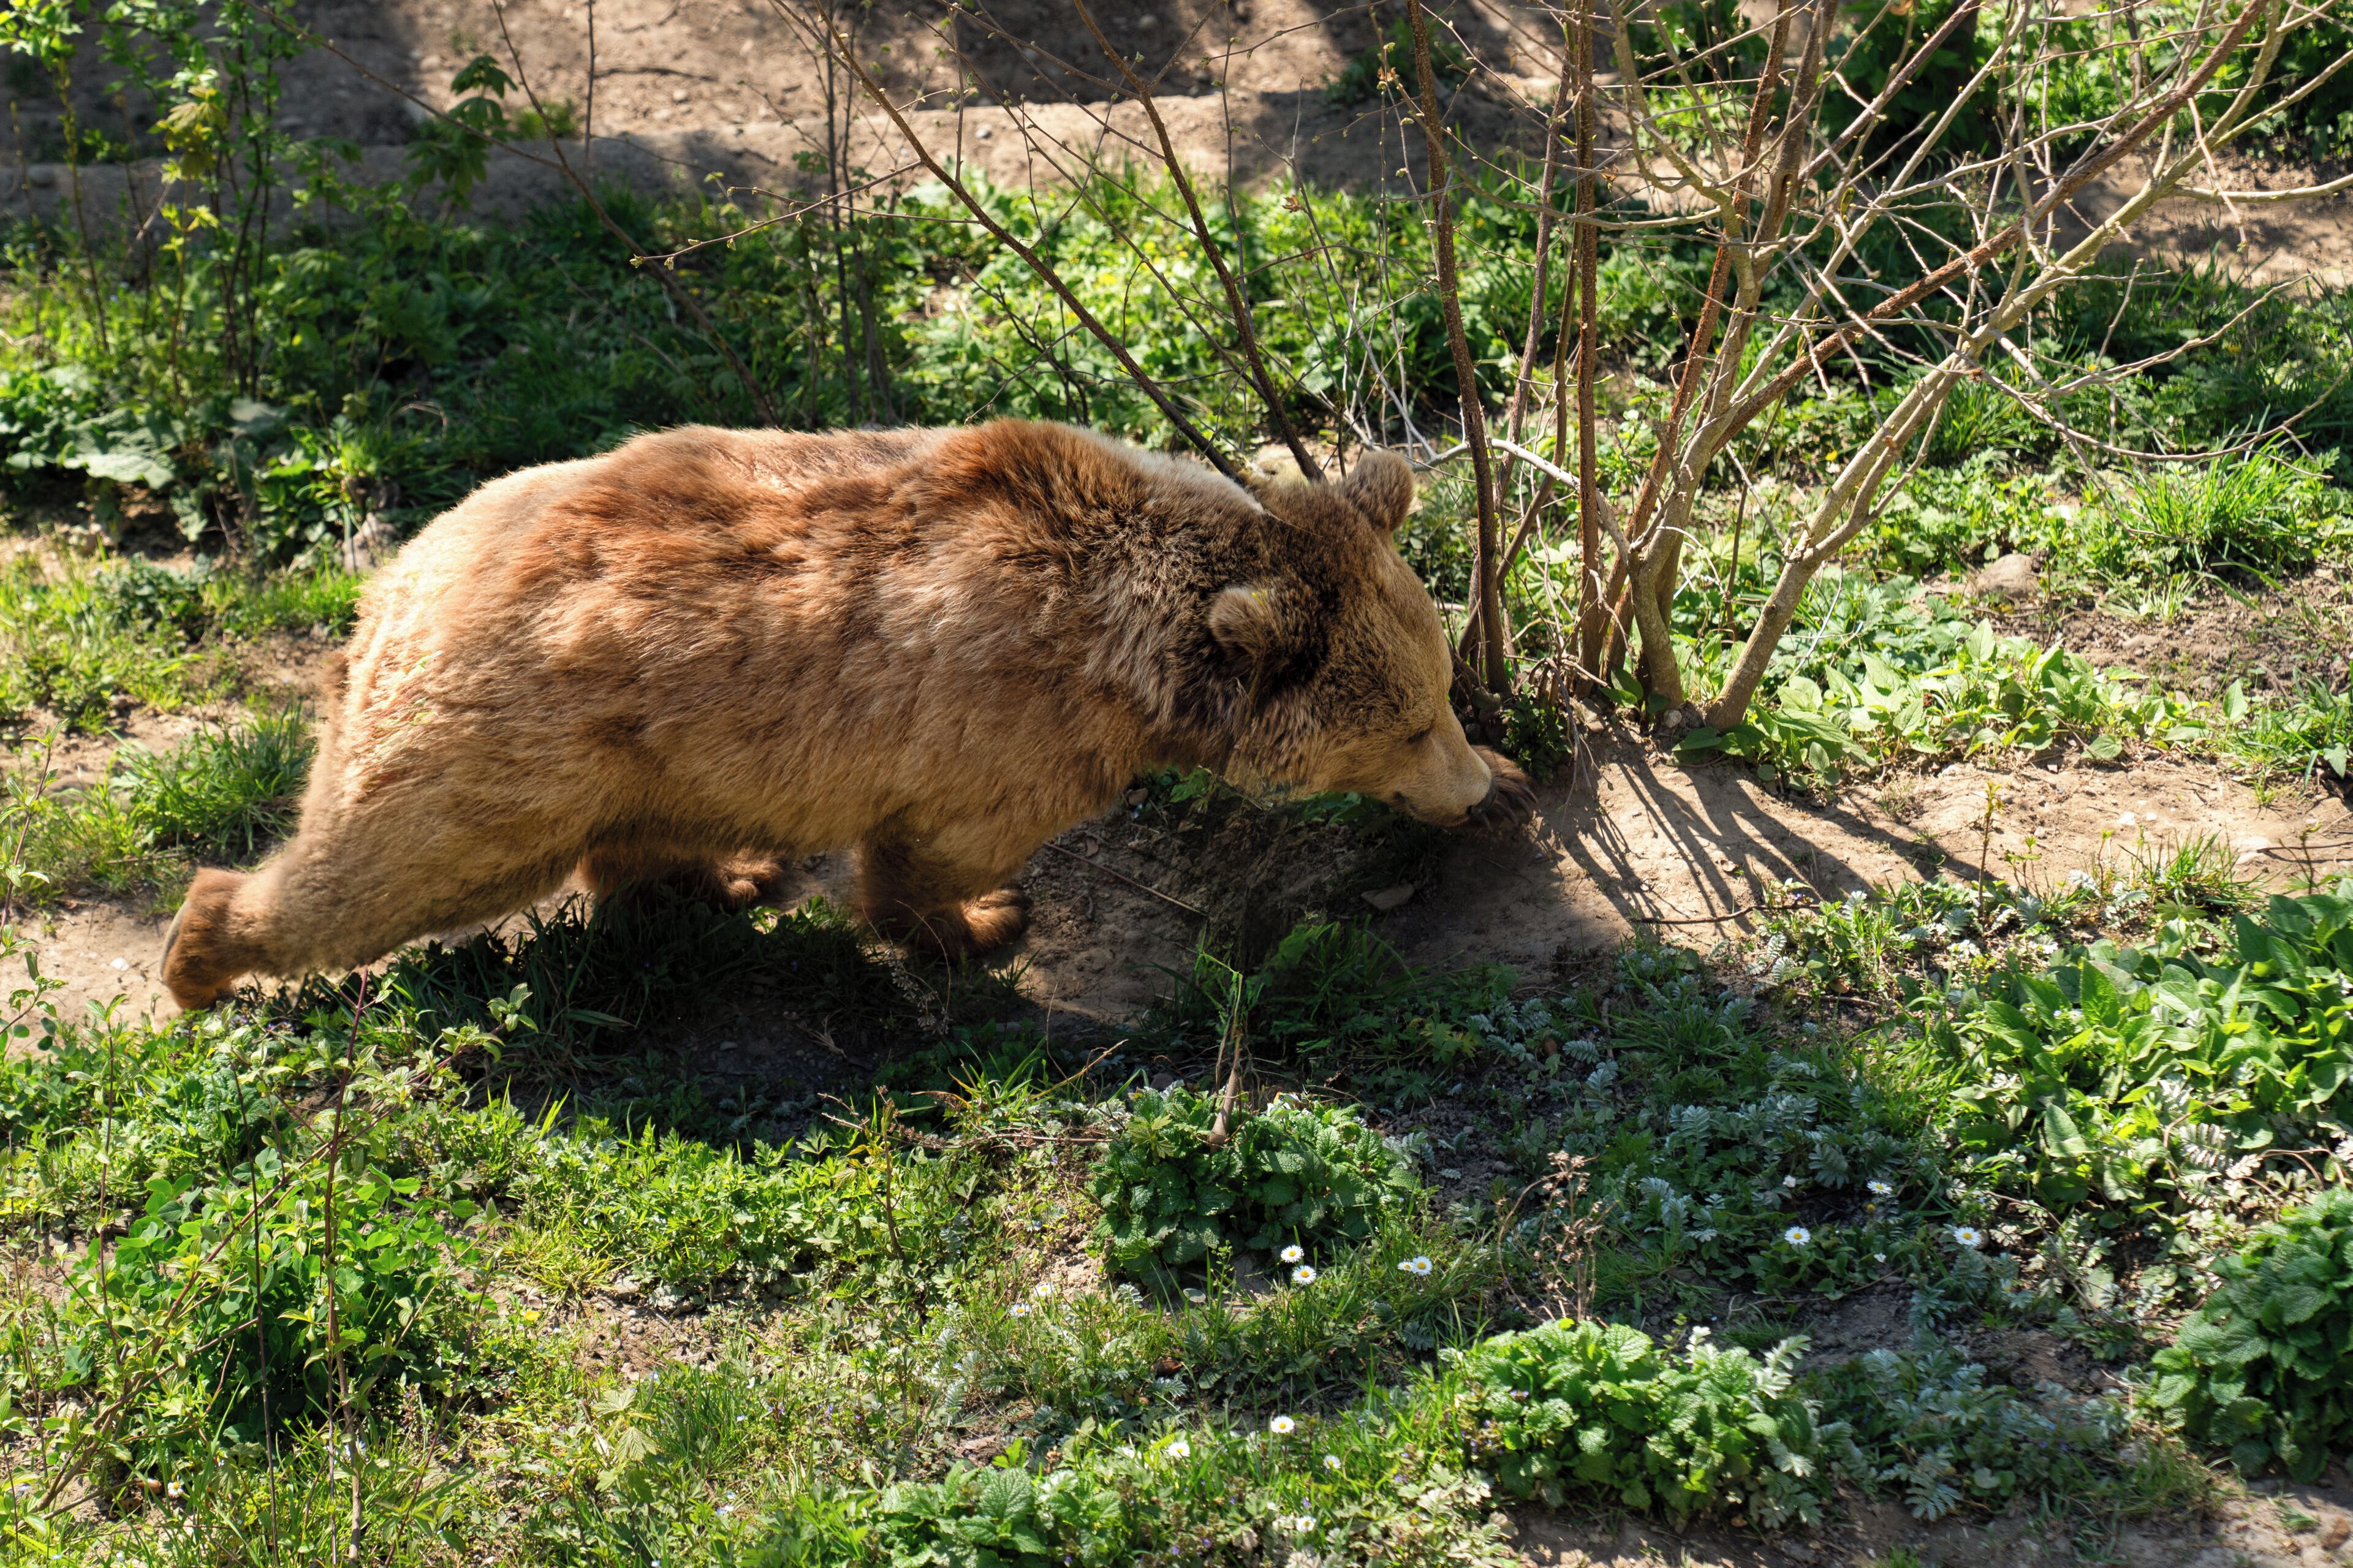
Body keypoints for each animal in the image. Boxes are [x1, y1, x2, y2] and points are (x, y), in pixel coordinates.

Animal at [160, 419, 1534, 1010]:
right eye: (1405, 724)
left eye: (1441, 694)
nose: (1472, 788)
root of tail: (394, 580)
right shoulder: (1009, 725)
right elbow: (939, 852)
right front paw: (983, 922)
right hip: (499, 748)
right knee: (384, 871)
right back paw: (201, 957)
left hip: (643, 747)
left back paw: (728, 874)